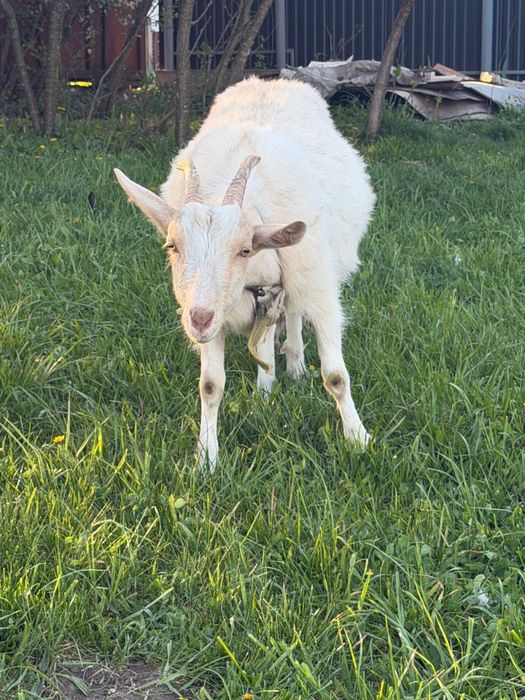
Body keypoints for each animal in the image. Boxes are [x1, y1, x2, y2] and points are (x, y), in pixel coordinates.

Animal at [114, 77, 376, 470]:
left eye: (243, 249)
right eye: (172, 246)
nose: (199, 319)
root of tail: (270, 79)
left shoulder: (318, 289)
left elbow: (335, 376)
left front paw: (359, 439)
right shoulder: (221, 310)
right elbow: (210, 384)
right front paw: (206, 458)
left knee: (294, 315)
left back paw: (295, 366)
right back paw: (266, 391)